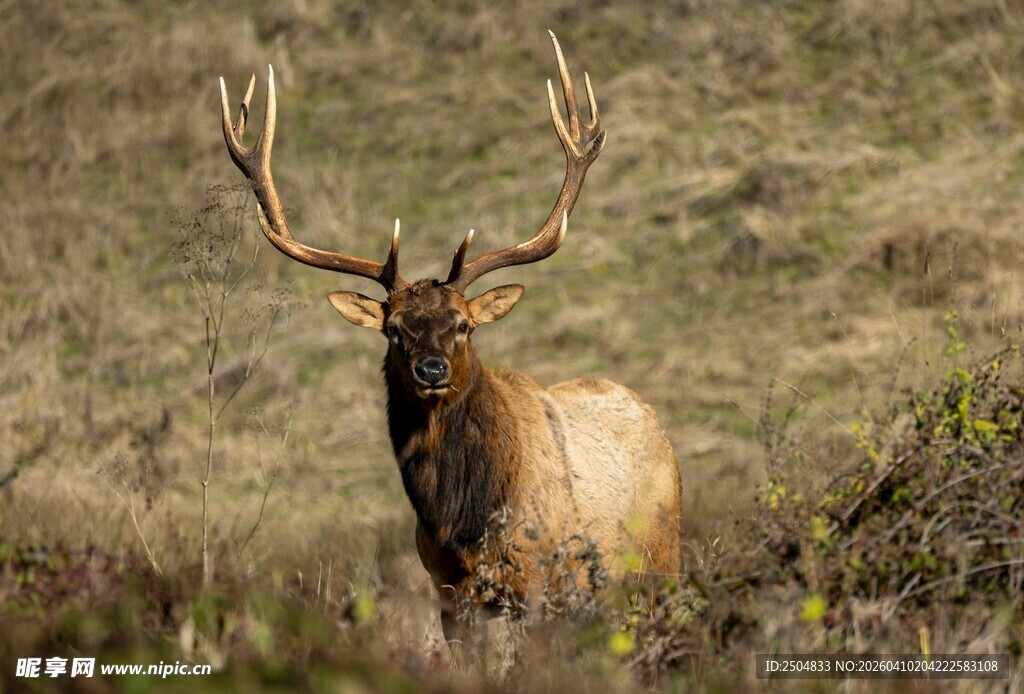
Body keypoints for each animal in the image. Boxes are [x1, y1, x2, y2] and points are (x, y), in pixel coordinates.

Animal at [220, 32, 682, 653]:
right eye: (393, 329)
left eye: (464, 324)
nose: (432, 370)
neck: (464, 522)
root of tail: (657, 424)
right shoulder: (450, 595)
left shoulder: (539, 583)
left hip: (661, 560)